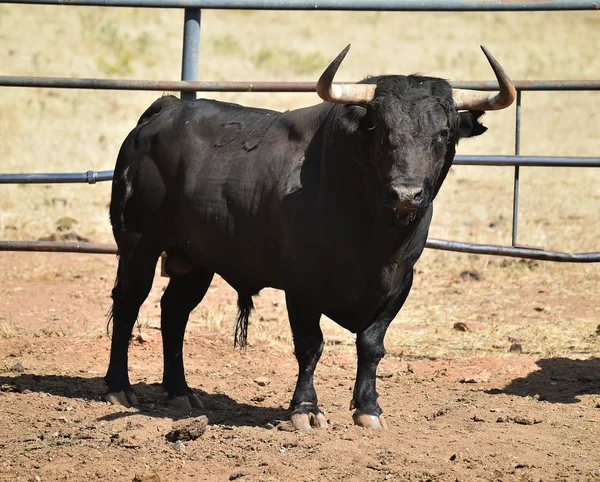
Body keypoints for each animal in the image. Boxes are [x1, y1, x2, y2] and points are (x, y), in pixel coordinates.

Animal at [104, 46, 516, 430]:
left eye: (442, 134)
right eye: (381, 132)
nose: (406, 194)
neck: (373, 237)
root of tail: (167, 110)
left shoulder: (400, 282)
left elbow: (371, 345)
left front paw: (369, 409)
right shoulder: (302, 283)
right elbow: (310, 346)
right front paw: (305, 409)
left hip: (196, 260)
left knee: (174, 312)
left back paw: (180, 392)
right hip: (138, 245)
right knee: (128, 304)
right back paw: (119, 387)